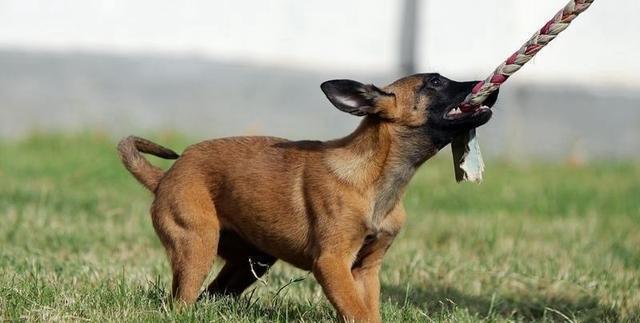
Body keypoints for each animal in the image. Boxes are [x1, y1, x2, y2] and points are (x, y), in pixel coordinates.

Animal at [119, 72, 500, 322]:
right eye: (435, 83)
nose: (488, 89)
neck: (378, 177)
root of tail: (165, 176)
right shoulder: (332, 263)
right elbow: (357, 313)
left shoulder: (366, 269)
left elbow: (368, 312)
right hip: (196, 245)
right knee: (181, 302)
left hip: (252, 260)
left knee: (211, 295)